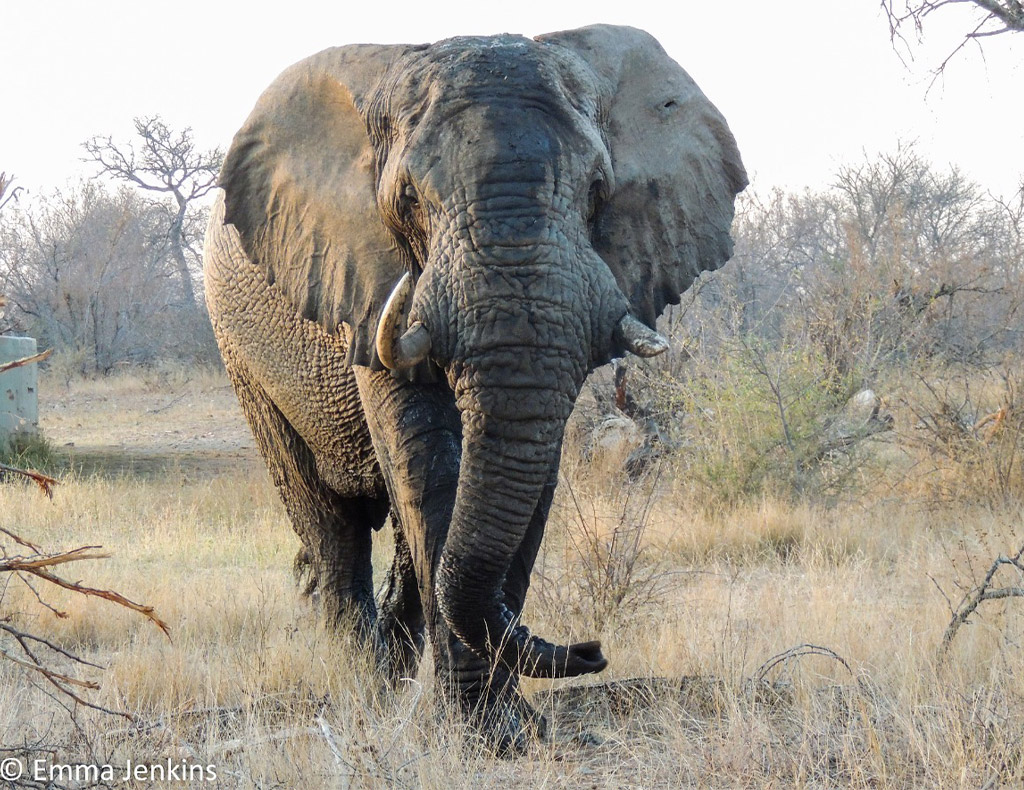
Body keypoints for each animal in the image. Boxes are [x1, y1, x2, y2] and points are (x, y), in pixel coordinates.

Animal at [203, 23, 745, 754]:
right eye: (407, 200)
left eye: (597, 191)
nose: (591, 651)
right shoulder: (371, 282)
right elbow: (429, 465)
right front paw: (477, 732)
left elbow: (529, 476)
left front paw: (509, 728)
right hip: (243, 355)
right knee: (329, 524)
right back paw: (368, 690)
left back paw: (395, 674)